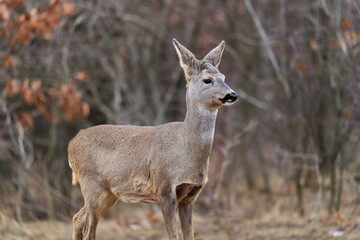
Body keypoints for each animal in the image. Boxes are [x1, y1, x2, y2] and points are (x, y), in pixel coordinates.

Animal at [69, 38, 239, 239]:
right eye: (207, 80)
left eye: (223, 77)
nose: (232, 95)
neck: (186, 150)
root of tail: (71, 143)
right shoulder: (164, 189)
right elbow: (173, 235)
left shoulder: (190, 196)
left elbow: (189, 235)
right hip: (91, 185)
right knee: (88, 230)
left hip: (110, 193)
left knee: (77, 218)